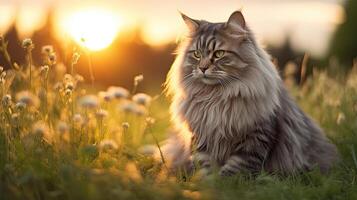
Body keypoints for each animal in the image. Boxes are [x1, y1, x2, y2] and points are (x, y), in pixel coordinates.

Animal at [163, 10, 338, 177]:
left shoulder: (255, 137)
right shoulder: (200, 136)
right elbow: (204, 167)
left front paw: (223, 182)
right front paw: (206, 182)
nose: (203, 68)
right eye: (197, 54)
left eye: (219, 54)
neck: (215, 97)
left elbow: (235, 169)